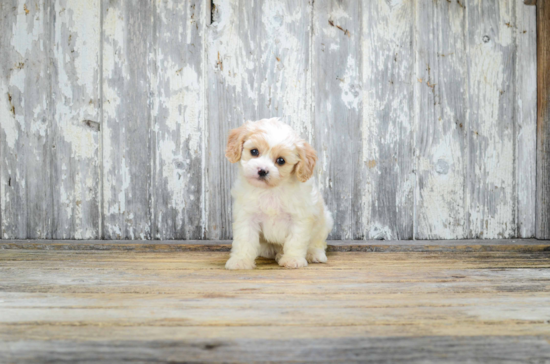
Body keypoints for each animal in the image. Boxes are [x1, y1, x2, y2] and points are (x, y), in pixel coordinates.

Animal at [225, 118, 336, 268]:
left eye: (281, 160)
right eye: (254, 151)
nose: (262, 170)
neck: (271, 190)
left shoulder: (300, 218)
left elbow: (296, 240)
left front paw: (293, 259)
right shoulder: (247, 216)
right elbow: (244, 239)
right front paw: (240, 261)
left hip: (325, 222)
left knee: (317, 242)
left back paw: (314, 254)